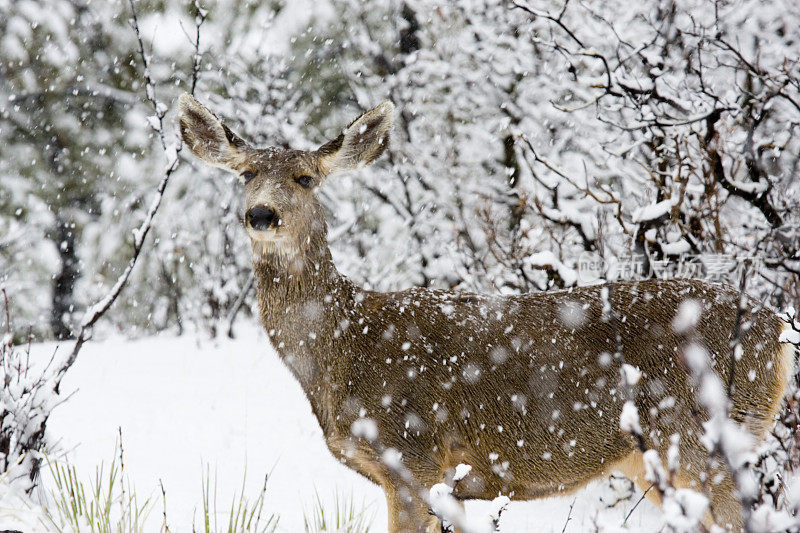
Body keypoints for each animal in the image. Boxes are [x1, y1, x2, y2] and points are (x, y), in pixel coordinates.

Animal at [178, 93, 796, 528]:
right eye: (246, 173)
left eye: (305, 177)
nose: (261, 214)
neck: (342, 347)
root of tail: (778, 329)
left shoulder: (414, 452)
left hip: (702, 437)